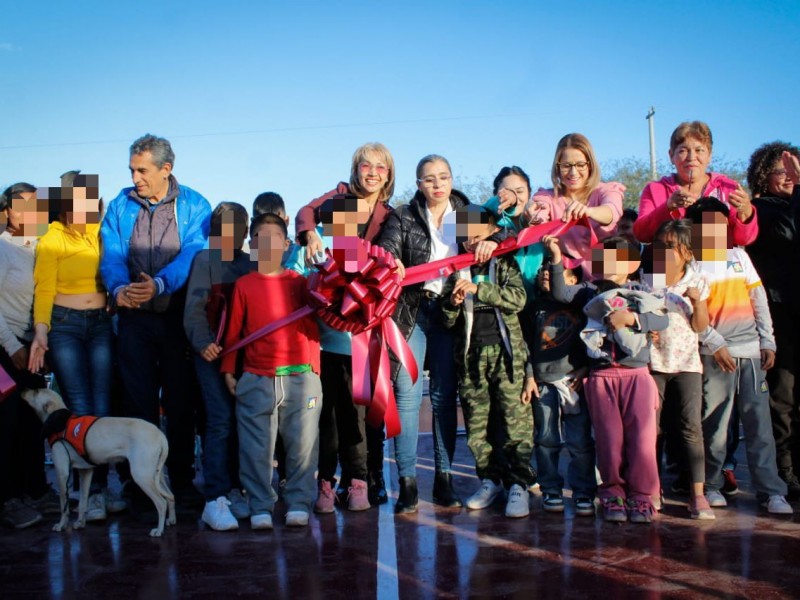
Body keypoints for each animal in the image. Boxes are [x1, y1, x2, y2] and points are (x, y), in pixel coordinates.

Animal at [22, 386, 177, 536]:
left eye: (36, 391)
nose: (22, 390)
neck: (61, 423)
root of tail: (160, 433)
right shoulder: (85, 472)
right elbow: (83, 501)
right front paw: (80, 523)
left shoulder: (62, 473)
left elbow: (63, 505)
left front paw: (61, 525)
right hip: (156, 474)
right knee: (170, 496)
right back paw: (171, 520)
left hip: (142, 475)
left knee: (161, 503)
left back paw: (159, 530)